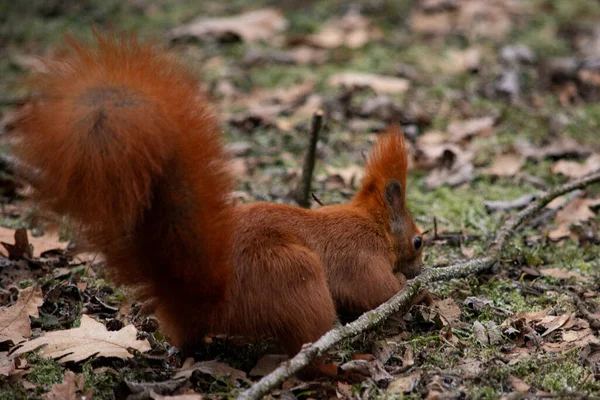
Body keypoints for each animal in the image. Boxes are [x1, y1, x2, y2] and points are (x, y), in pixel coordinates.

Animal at [12, 34, 422, 354]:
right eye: (418, 241)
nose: (421, 265)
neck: (374, 223)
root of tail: (206, 295)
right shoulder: (360, 255)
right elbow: (378, 290)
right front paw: (414, 290)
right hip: (293, 274)